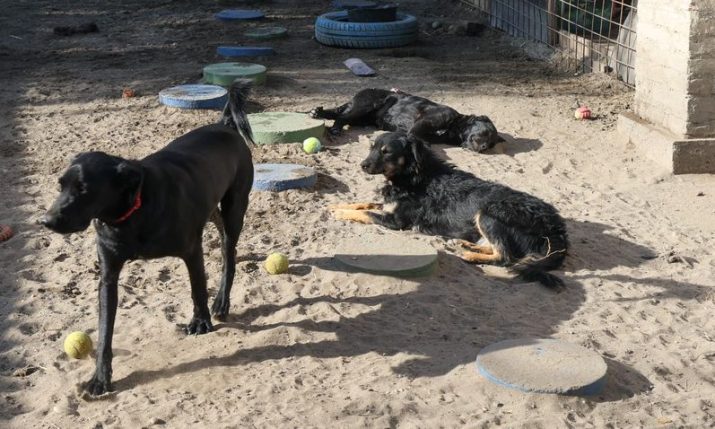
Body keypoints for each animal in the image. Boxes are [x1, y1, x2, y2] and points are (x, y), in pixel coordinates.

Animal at [40, 79, 256, 394]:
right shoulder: (108, 276)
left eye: (84, 189)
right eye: (60, 185)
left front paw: (200, 322)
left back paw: (221, 302)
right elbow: (104, 331)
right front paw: (100, 378)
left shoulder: (191, 251)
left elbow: (198, 289)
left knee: (229, 254)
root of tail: (225, 126)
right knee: (215, 221)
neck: (130, 212)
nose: (45, 221)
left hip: (235, 206)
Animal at [310, 87, 504, 152]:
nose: (485, 148)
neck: (454, 127)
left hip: (361, 117)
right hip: (364, 106)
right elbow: (415, 134)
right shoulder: (424, 121)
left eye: (492, 144)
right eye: (486, 133)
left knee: (337, 113)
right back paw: (334, 129)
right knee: (341, 117)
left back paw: (316, 113)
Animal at [330, 131, 572, 288]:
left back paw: (470, 255)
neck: (414, 174)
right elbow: (365, 203)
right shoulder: (390, 206)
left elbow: (366, 212)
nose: (362, 165)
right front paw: (336, 205)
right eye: (371, 148)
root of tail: (556, 229)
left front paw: (340, 213)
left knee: (505, 255)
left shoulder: (396, 221)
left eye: (386, 152)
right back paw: (467, 244)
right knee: (496, 248)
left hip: (489, 212)